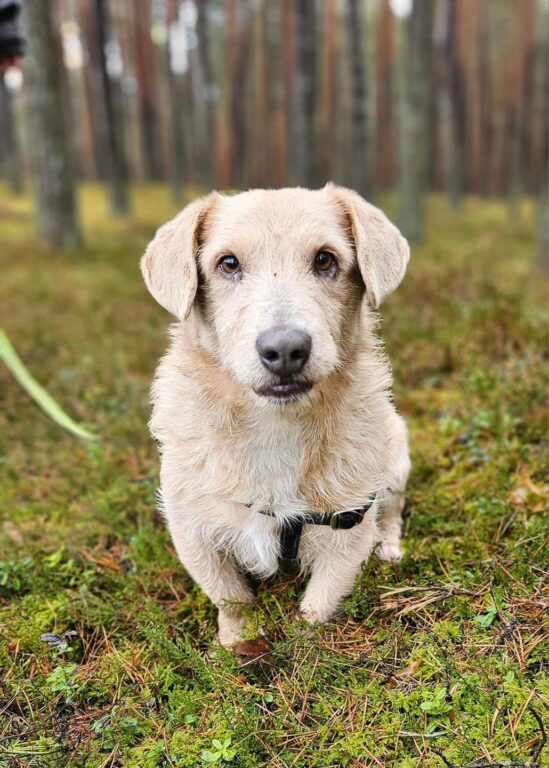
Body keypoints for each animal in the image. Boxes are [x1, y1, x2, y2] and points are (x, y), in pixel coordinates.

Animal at [141, 186, 412, 648]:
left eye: (325, 259)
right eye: (228, 263)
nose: (285, 349)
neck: (276, 425)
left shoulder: (349, 531)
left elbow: (319, 604)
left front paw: (305, 643)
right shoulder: (193, 529)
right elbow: (231, 597)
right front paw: (239, 643)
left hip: (396, 461)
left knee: (393, 512)